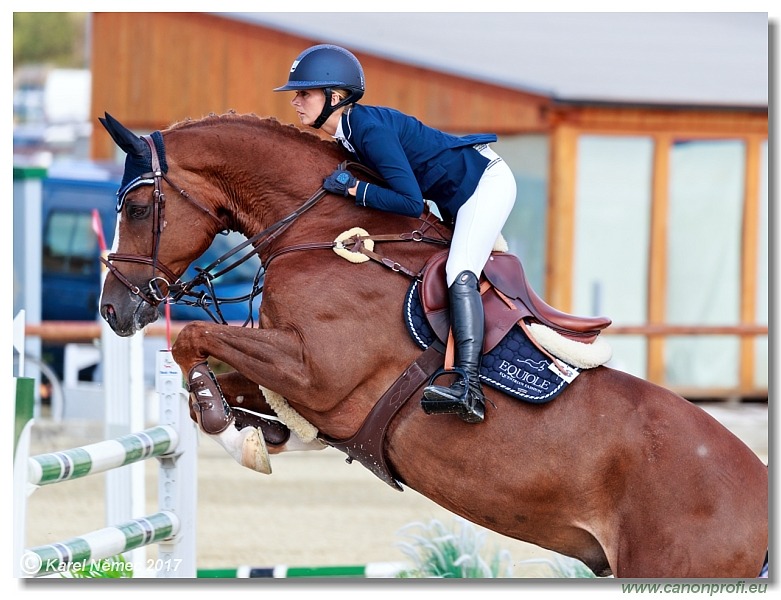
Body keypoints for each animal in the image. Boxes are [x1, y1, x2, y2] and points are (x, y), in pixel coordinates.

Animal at [94, 111, 764, 576]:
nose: (113, 310)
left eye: (137, 206)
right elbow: (218, 373)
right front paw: (264, 431)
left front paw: (231, 428)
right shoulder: (297, 372)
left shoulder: (319, 373)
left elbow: (195, 339)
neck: (322, 232)